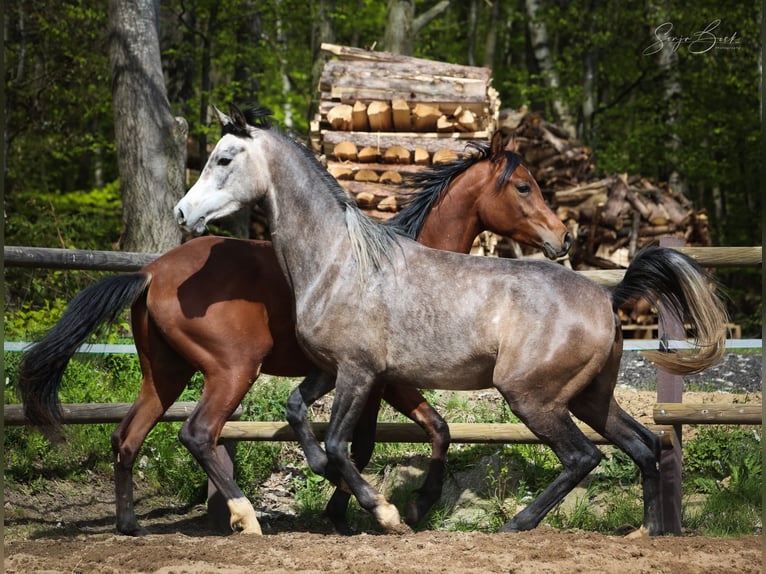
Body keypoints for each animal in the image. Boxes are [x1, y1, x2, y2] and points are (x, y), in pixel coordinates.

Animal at [18, 126, 568, 536]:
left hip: (165, 375)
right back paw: (245, 517)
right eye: (524, 187)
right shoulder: (382, 379)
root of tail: (151, 272)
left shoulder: (371, 379)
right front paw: (374, 509)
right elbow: (387, 439)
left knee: (127, 437)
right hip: (232, 370)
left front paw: (375, 507)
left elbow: (422, 432)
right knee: (198, 434)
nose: (563, 236)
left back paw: (131, 526)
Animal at [171, 106, 728, 536]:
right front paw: (340, 488)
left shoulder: (360, 373)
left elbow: (344, 443)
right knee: (644, 445)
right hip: (589, 398)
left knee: (583, 457)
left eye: (224, 158)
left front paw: (387, 512)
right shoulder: (333, 370)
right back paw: (646, 531)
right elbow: (299, 413)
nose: (182, 213)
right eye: (522, 188)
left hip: (533, 397)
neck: (340, 261)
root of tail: (607, 297)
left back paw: (516, 524)